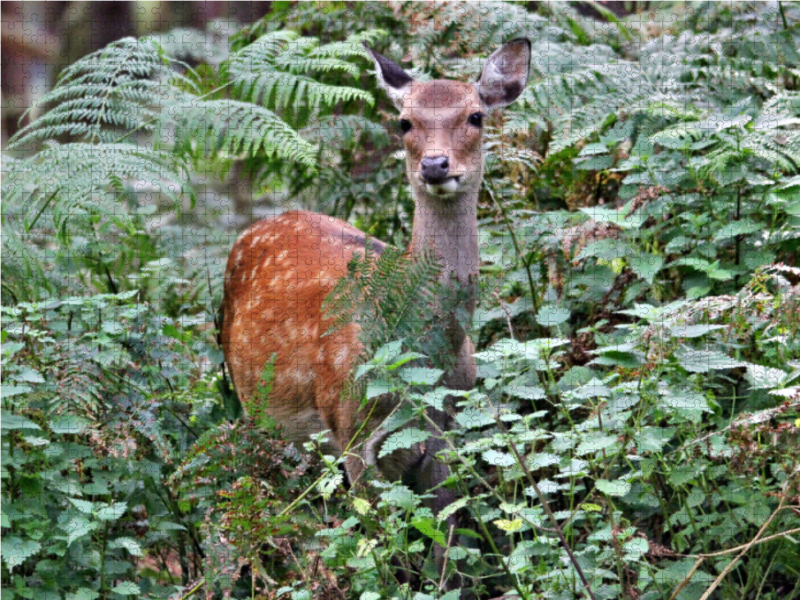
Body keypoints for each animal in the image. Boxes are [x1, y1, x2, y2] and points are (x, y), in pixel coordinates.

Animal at [220, 35, 532, 564]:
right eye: (404, 122)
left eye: (475, 116)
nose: (435, 165)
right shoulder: (351, 427)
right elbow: (383, 550)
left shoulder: (443, 431)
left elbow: (445, 543)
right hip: (254, 407)